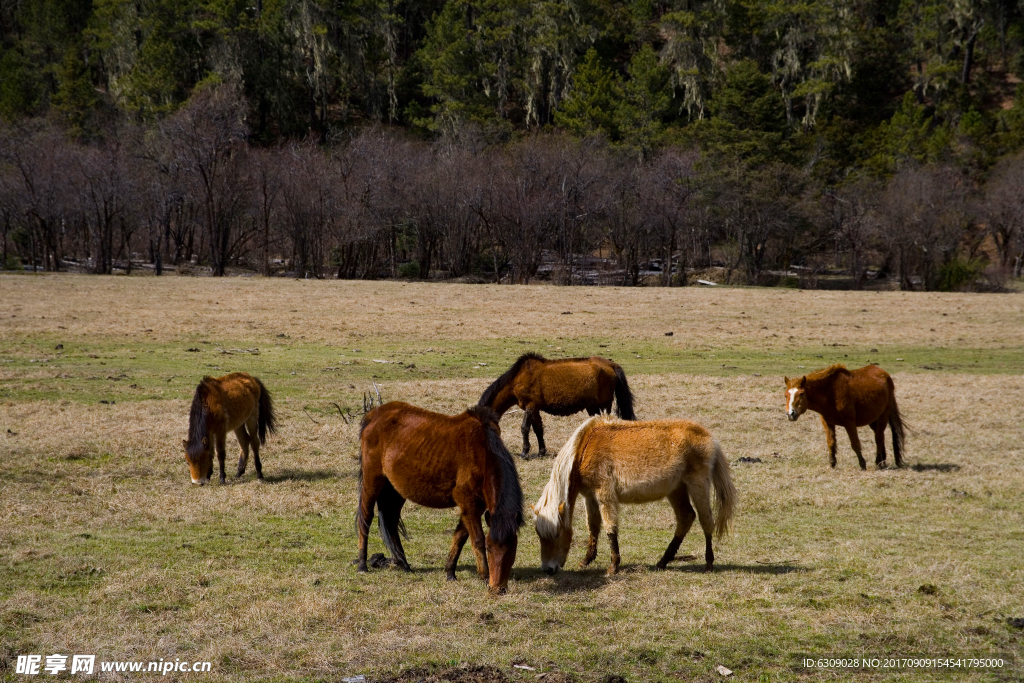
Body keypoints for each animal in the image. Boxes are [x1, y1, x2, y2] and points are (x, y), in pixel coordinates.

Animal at [356, 401, 524, 593]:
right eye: (490, 548)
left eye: (513, 550)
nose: (498, 589)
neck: (482, 452)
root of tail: (373, 415)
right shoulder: (468, 504)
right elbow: (477, 540)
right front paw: (484, 575)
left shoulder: (474, 507)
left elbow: (459, 537)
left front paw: (450, 572)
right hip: (373, 479)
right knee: (365, 517)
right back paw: (362, 564)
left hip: (395, 489)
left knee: (391, 522)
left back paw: (404, 564)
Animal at [477, 352, 630, 458]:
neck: (517, 380)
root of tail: (611, 365)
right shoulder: (535, 409)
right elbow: (538, 429)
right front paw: (541, 452)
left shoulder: (530, 406)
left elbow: (525, 428)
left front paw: (524, 452)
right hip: (592, 406)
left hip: (604, 404)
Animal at [532, 417, 733, 577]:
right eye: (539, 535)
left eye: (557, 533)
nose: (548, 569)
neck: (585, 447)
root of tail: (709, 437)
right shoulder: (591, 497)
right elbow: (593, 527)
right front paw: (587, 560)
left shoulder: (605, 494)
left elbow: (610, 528)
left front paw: (613, 566)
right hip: (677, 490)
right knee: (686, 517)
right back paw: (662, 562)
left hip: (698, 486)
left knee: (706, 520)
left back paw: (708, 563)